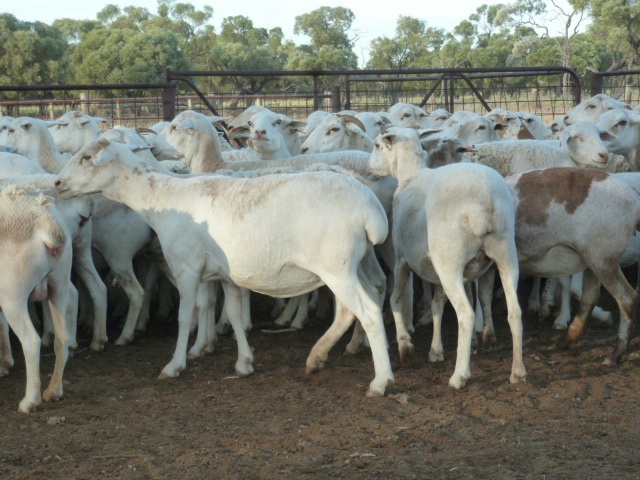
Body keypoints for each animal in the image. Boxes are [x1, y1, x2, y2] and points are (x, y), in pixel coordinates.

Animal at [0, 188, 73, 412]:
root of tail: (46, 222)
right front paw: (4, 364)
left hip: (12, 294)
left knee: (31, 341)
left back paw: (30, 402)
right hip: (60, 284)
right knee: (62, 338)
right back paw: (53, 391)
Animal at [55, 137, 396, 396]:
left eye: (87, 157)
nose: (57, 182)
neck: (161, 197)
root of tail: (370, 207)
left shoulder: (187, 268)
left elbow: (185, 316)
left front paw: (175, 365)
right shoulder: (225, 274)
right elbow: (231, 314)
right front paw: (244, 363)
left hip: (337, 266)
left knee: (366, 311)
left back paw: (381, 381)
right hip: (359, 261)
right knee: (363, 300)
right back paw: (318, 357)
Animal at [364, 125, 524, 388]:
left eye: (377, 146)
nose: (368, 169)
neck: (410, 175)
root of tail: (484, 203)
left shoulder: (401, 260)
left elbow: (396, 300)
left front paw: (405, 345)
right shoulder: (439, 267)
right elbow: (437, 305)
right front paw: (436, 350)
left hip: (451, 264)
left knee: (466, 315)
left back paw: (459, 375)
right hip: (505, 255)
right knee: (514, 312)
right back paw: (518, 371)